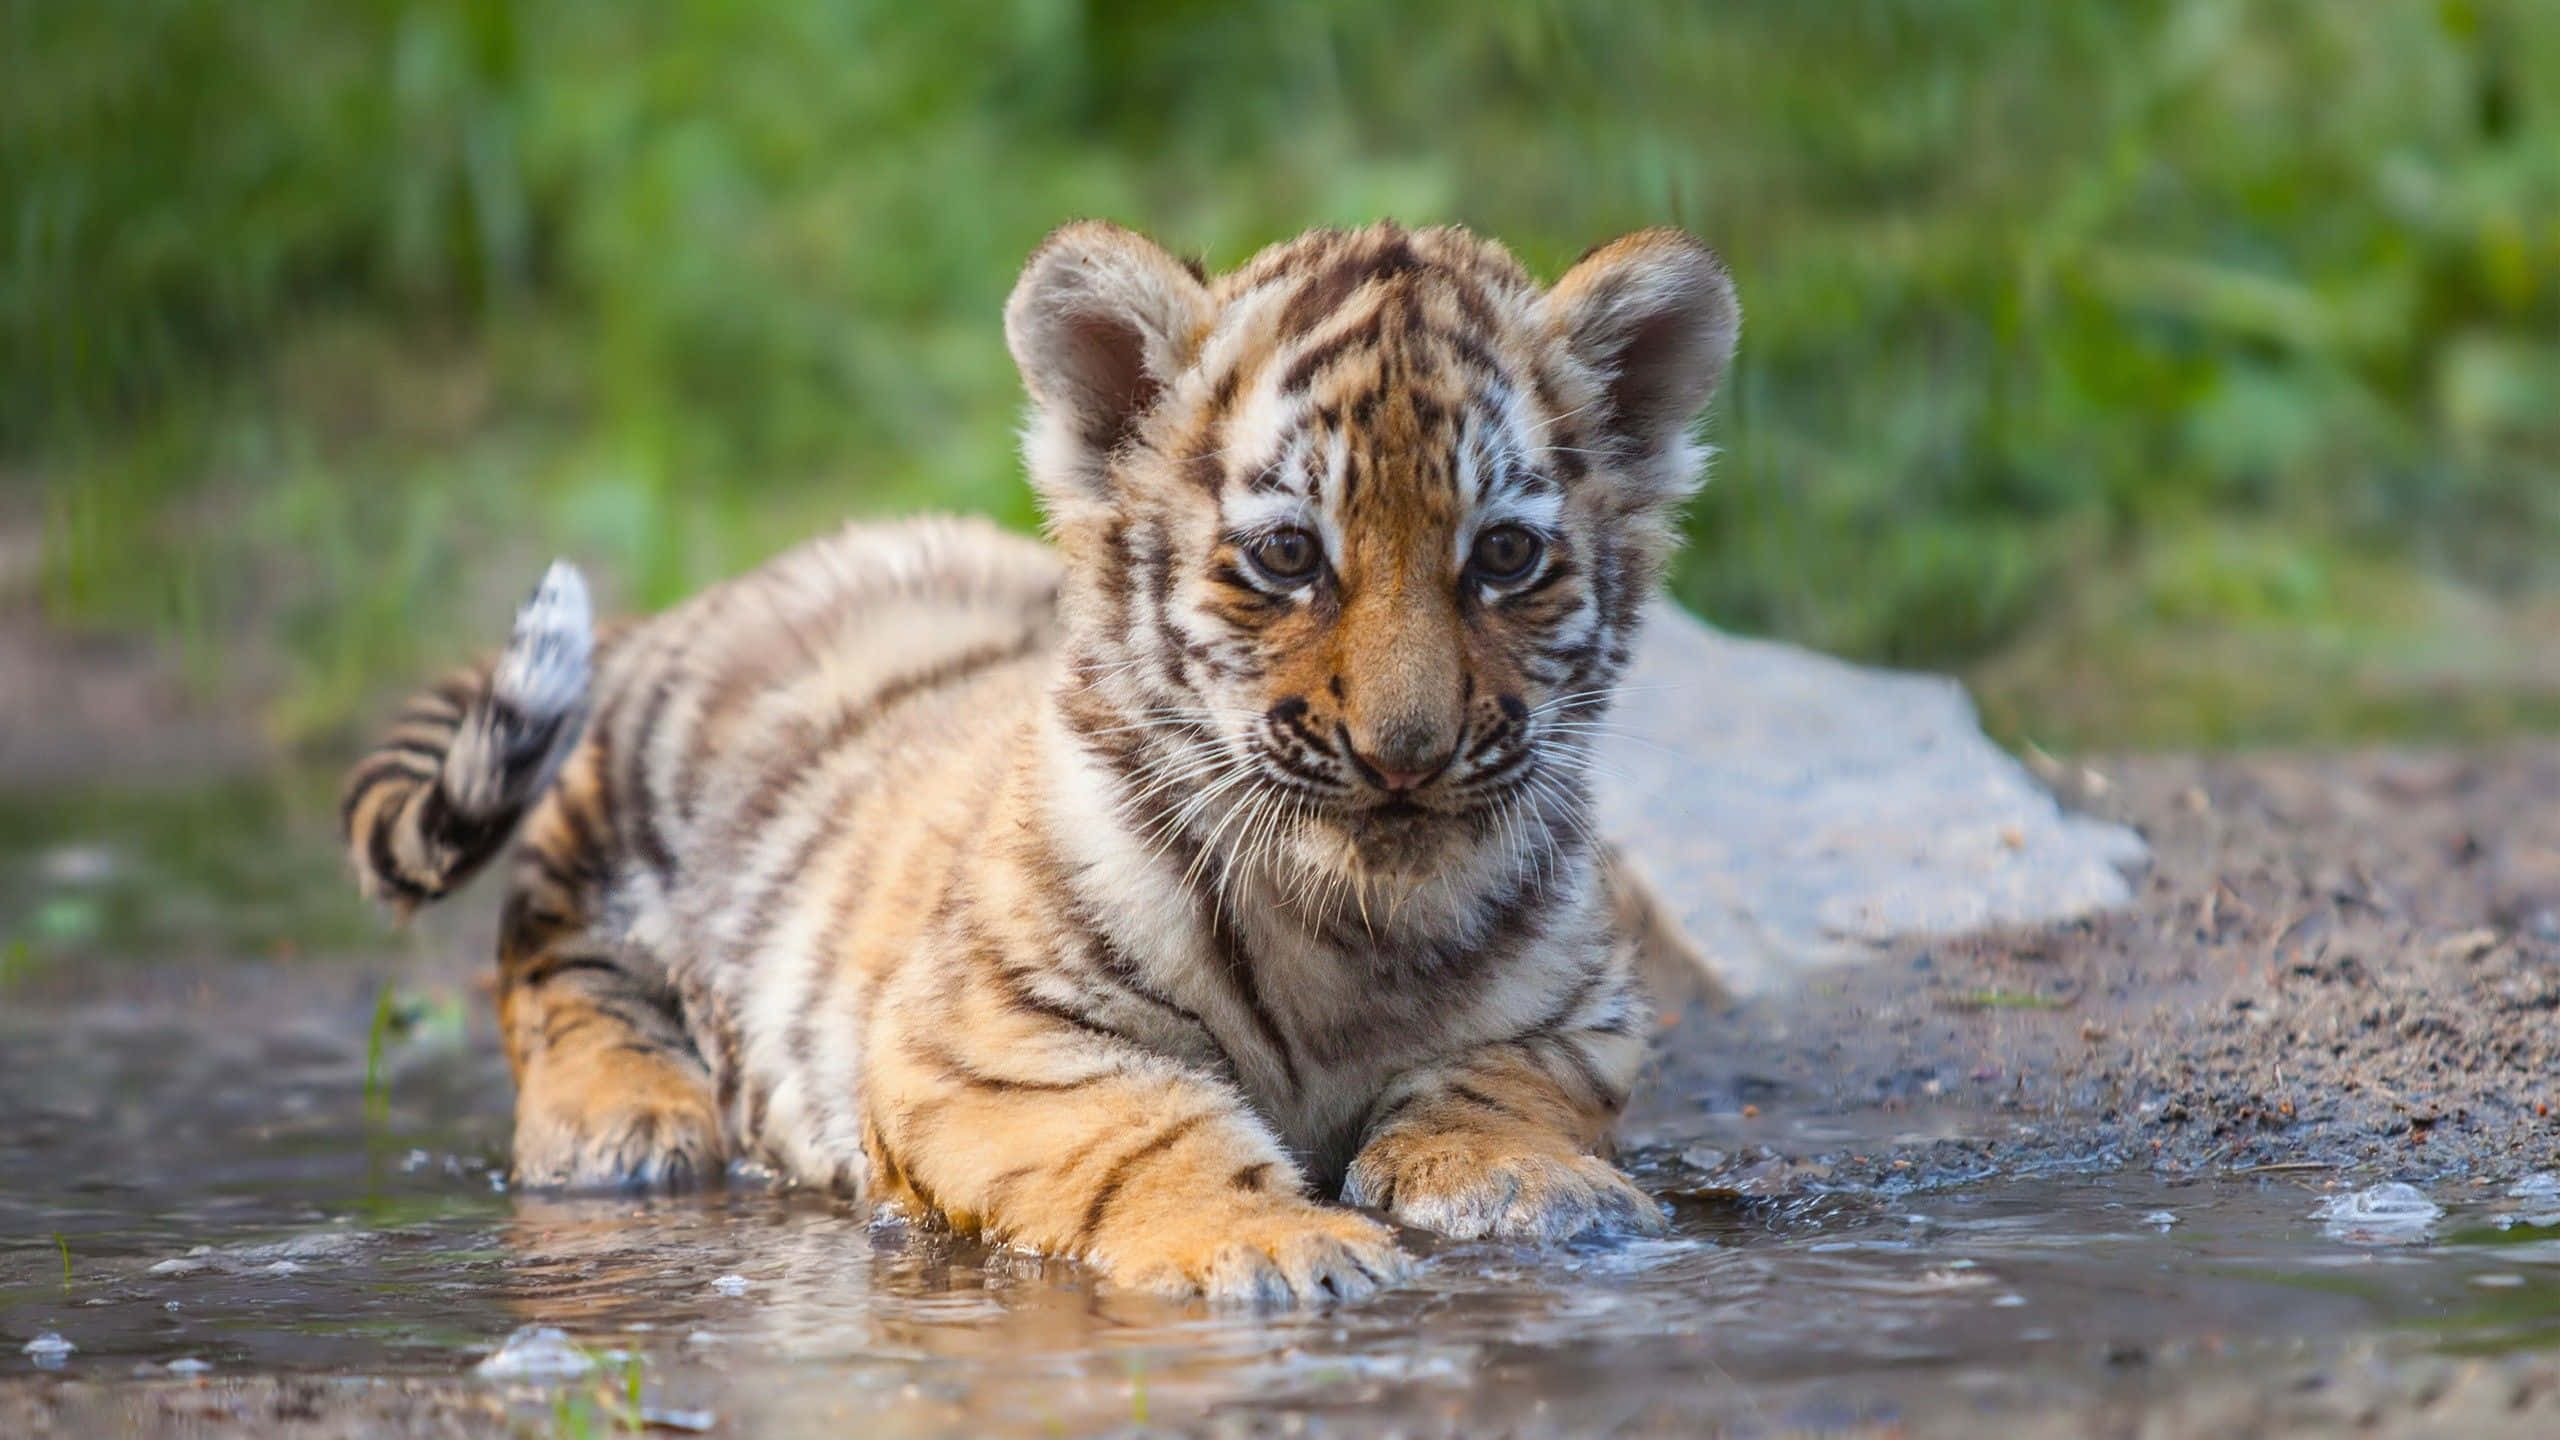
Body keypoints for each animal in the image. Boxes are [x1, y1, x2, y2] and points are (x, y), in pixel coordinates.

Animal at [339, 220, 1739, 1303]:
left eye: (1503, 557)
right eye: (1288, 556)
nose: (1405, 755)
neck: (1355, 919)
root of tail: (725, 587)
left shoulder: (1581, 1016)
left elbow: (1497, 1085)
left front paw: (1539, 1190)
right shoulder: (989, 1041)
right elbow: (1147, 1135)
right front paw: (1281, 1245)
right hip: (618, 816)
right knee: (548, 958)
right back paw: (621, 1122)